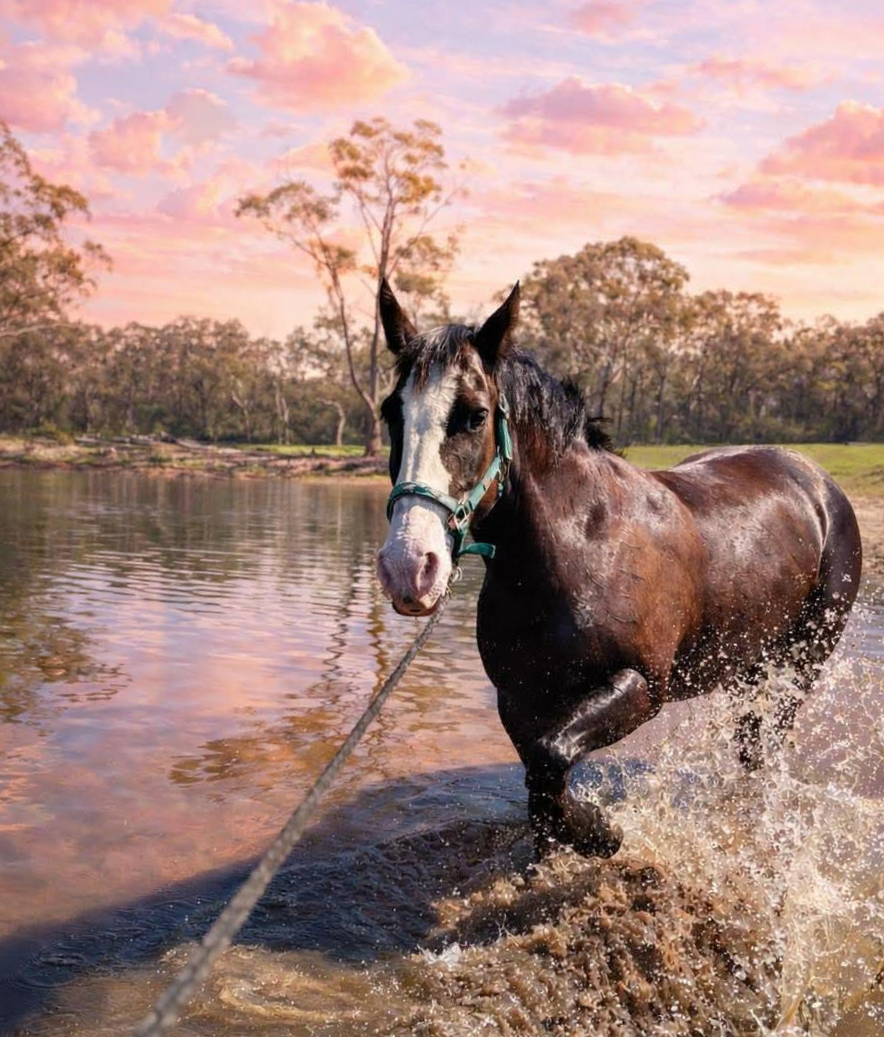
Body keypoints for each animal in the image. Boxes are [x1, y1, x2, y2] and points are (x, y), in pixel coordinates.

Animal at [375, 280, 863, 857]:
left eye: (473, 414)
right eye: (391, 414)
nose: (409, 567)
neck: (581, 546)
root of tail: (816, 482)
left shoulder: (641, 685)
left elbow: (550, 762)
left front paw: (600, 831)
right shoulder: (520, 698)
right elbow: (541, 784)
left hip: (800, 662)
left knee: (765, 743)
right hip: (747, 664)